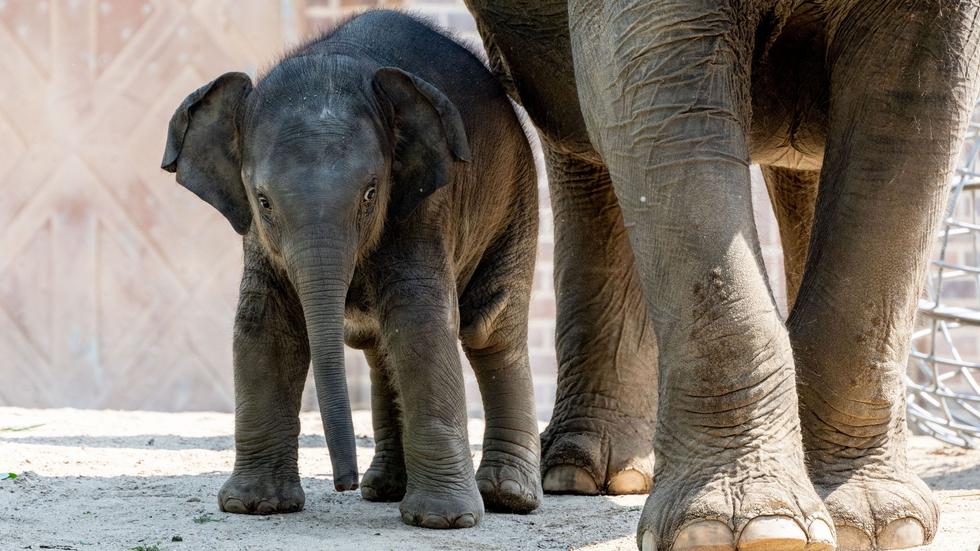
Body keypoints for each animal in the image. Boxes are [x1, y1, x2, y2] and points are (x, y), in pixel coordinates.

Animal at [162, 9, 544, 532]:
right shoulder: (258, 237)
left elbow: (421, 321)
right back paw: (382, 489)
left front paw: (444, 520)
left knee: (490, 329)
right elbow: (265, 323)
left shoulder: (425, 204)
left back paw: (508, 496)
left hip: (516, 197)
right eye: (263, 201)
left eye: (370, 192)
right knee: (379, 346)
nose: (341, 483)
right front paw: (253, 506)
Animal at [466, 1, 980, 551]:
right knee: (578, 136)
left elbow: (906, 105)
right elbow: (663, 87)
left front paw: (874, 526)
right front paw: (752, 531)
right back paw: (581, 474)